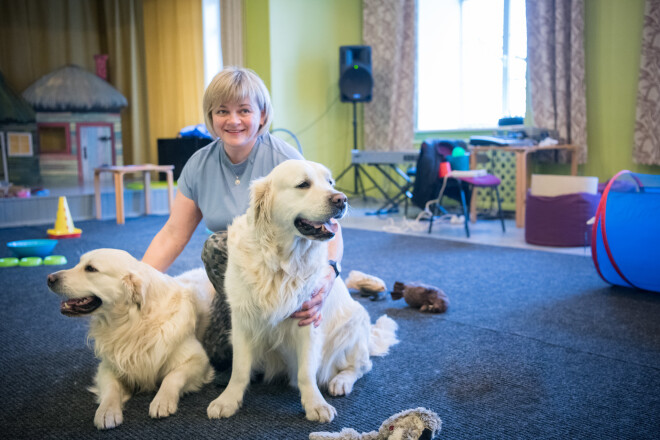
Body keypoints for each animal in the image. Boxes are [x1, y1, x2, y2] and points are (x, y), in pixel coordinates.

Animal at [47, 251, 217, 430]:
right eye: (79, 263)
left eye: (91, 269)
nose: (49, 278)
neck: (131, 323)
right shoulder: (108, 365)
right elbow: (111, 388)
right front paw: (107, 411)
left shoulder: (199, 360)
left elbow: (173, 376)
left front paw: (162, 400)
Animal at [206, 159, 398, 422]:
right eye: (303, 184)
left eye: (330, 182)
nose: (342, 199)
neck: (282, 262)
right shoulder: (243, 320)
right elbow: (240, 369)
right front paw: (228, 399)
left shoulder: (309, 320)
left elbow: (306, 372)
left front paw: (315, 405)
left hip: (355, 324)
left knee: (361, 367)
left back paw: (341, 382)